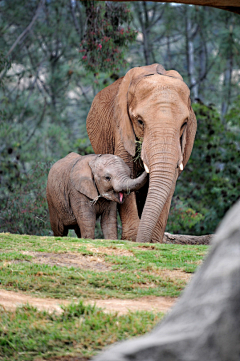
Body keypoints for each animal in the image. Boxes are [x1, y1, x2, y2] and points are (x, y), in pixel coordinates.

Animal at [86, 64, 197, 242]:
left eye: (184, 124)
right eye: (139, 121)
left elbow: (170, 180)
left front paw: (154, 242)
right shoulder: (121, 127)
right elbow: (126, 171)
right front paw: (132, 240)